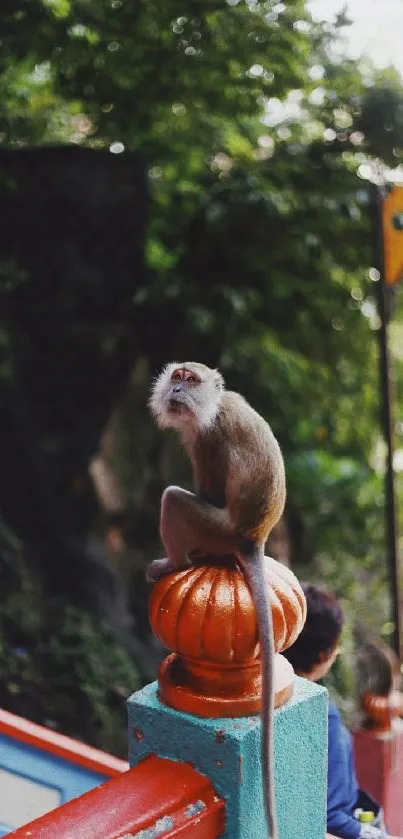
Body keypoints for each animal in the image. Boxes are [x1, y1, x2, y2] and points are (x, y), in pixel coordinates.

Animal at [148, 360, 288, 839]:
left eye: (189, 380)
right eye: (177, 376)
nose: (176, 389)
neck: (214, 404)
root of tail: (251, 539)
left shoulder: (206, 440)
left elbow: (207, 492)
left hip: (215, 531)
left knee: (175, 499)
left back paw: (174, 562)